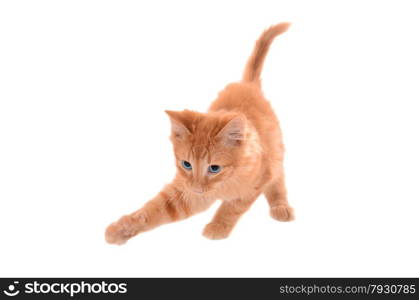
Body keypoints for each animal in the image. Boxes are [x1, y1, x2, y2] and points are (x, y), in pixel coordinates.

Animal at [106, 23, 296, 244]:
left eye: (214, 168)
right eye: (186, 164)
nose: (197, 187)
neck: (225, 181)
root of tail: (247, 84)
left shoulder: (259, 178)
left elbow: (232, 206)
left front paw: (217, 226)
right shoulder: (187, 191)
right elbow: (155, 209)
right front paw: (122, 228)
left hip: (275, 152)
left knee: (278, 180)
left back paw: (280, 207)